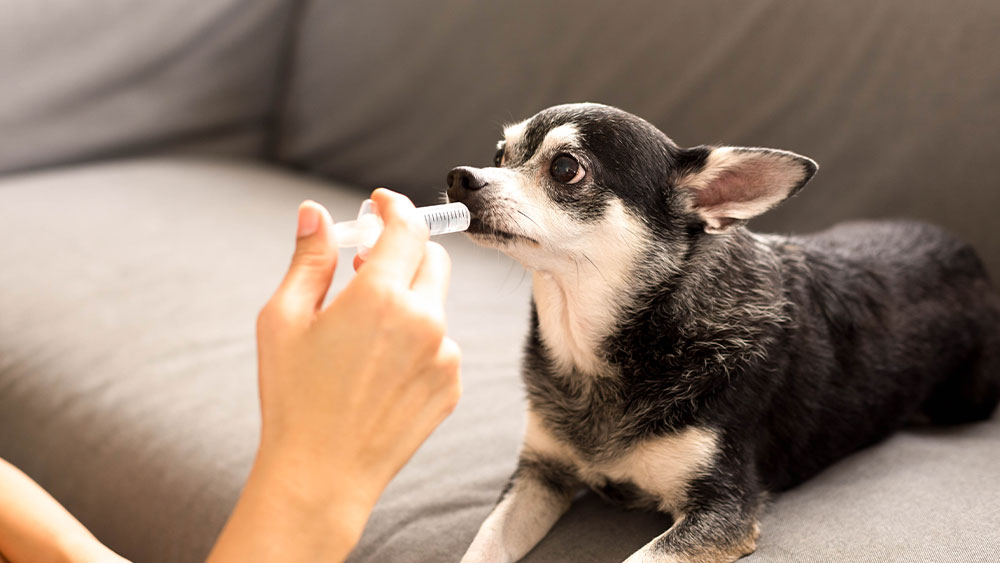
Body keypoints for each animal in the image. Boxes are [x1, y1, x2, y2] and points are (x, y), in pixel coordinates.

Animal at [446, 102, 1000, 563]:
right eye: (499, 155)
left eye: (565, 168)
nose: (459, 176)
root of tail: (971, 256)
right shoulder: (540, 473)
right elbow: (484, 543)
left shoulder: (722, 510)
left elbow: (642, 558)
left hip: (965, 400)